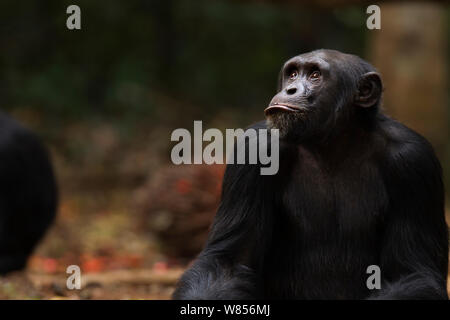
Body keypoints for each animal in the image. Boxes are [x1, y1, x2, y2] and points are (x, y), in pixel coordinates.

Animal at [171, 48, 446, 298]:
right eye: (292, 74)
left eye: (315, 75)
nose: (290, 89)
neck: (332, 143)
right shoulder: (254, 151)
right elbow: (228, 262)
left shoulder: (414, 161)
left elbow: (412, 271)